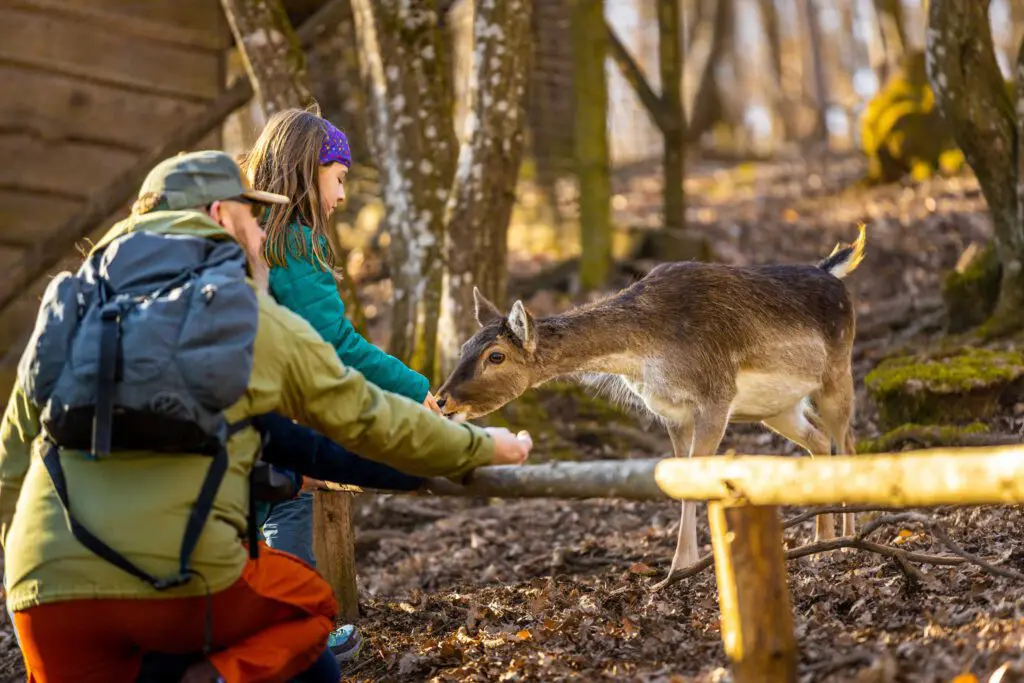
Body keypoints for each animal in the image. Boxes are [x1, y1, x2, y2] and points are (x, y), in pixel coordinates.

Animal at [436, 225, 867, 590]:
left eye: (496, 356)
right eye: (463, 347)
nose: (442, 399)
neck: (648, 350)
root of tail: (832, 271)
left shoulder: (716, 396)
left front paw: (678, 571)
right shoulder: (672, 414)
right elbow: (681, 481)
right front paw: (682, 567)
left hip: (837, 372)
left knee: (847, 442)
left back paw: (849, 538)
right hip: (776, 408)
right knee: (818, 439)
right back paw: (821, 539)